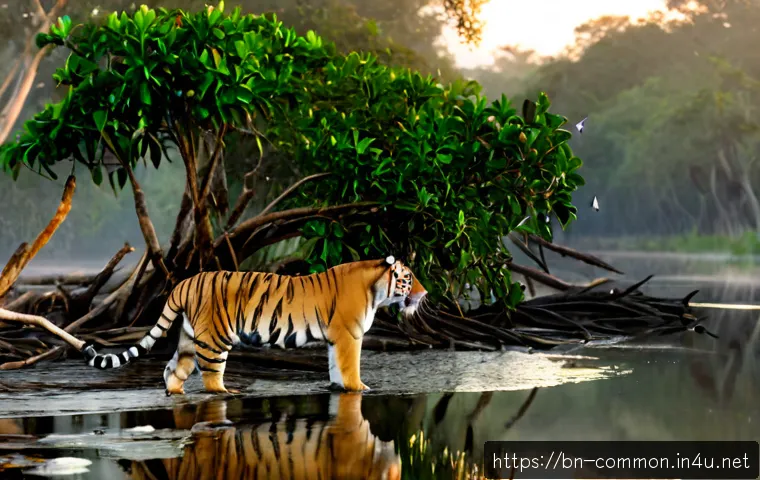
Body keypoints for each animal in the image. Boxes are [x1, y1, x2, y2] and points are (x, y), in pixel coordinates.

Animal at [81, 257, 428, 395]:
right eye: (408, 278)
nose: (425, 294)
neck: (376, 291)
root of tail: (184, 282)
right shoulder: (348, 336)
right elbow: (350, 367)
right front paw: (360, 389)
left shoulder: (335, 340)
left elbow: (334, 369)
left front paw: (339, 388)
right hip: (215, 339)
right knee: (210, 378)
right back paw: (228, 393)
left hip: (189, 339)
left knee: (172, 370)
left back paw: (176, 392)